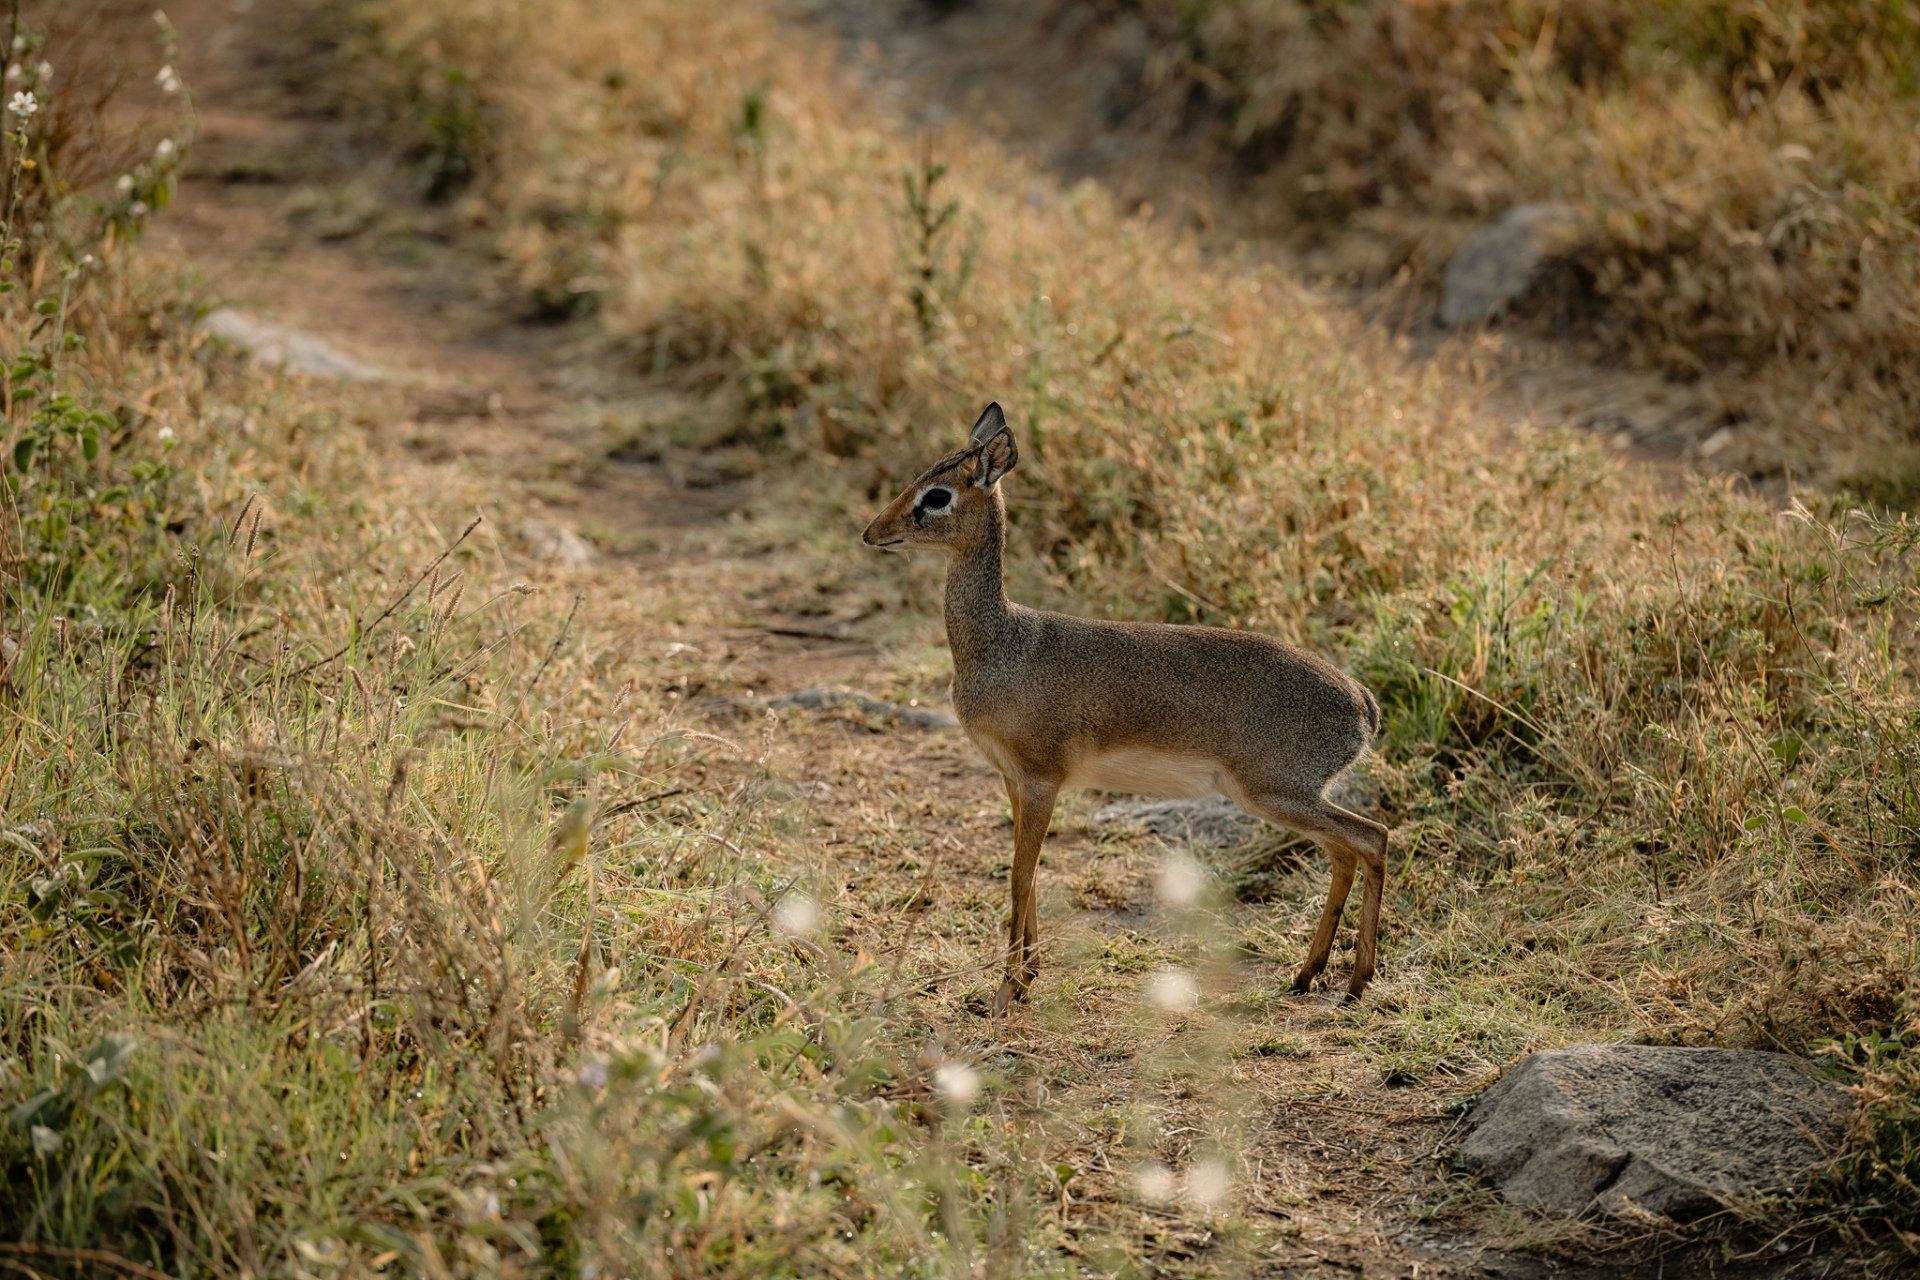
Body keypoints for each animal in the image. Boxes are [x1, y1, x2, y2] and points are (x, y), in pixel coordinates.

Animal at [862, 403, 1390, 1016]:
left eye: (938, 495)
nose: (873, 532)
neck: (1003, 645)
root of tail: (1361, 702)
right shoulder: (1013, 780)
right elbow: (1029, 876)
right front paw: (1028, 974)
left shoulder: (1041, 779)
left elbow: (1020, 877)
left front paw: (1006, 991)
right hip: (1286, 798)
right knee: (1346, 852)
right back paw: (1310, 974)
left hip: (1275, 792)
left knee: (1372, 836)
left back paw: (1356, 981)